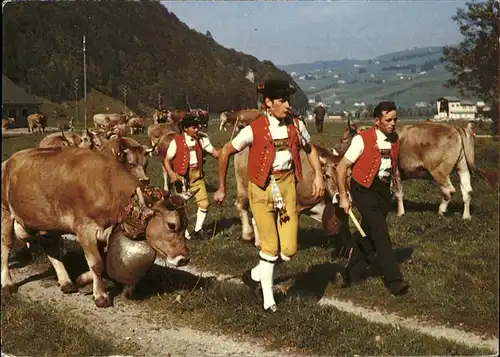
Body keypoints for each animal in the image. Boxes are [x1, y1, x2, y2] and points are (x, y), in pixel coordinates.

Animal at [0, 147, 194, 306]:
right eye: (172, 225)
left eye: (186, 225)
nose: (184, 259)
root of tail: (8, 161)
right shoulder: (85, 229)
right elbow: (97, 263)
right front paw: (100, 296)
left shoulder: (104, 233)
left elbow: (101, 263)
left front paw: (81, 280)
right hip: (5, 212)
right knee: (6, 247)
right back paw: (8, 283)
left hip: (50, 222)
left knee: (50, 248)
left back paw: (66, 282)